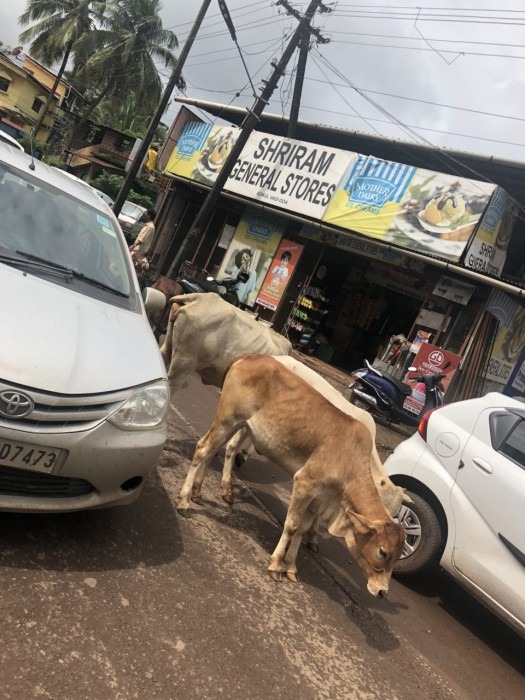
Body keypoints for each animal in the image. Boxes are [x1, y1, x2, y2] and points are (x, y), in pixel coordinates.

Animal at [178, 356, 404, 596]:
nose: (382, 591)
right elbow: (292, 526)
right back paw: (184, 501)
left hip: (236, 423)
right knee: (203, 449)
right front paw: (277, 564)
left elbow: (302, 531)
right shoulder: (305, 483)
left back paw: (198, 492)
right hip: (227, 419)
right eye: (383, 551)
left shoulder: (317, 500)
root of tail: (249, 357)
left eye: (398, 556)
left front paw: (292, 567)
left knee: (213, 450)